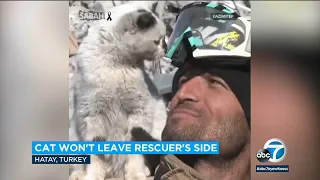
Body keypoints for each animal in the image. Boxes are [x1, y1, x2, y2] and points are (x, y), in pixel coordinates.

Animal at [69, 5, 168, 180]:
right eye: (157, 41)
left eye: (162, 39)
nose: (166, 49)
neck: (116, 67)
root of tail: (115, 173)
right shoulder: (92, 117)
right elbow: (95, 158)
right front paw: (93, 175)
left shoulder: (138, 113)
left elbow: (135, 154)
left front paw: (135, 174)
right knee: (77, 165)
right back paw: (79, 175)